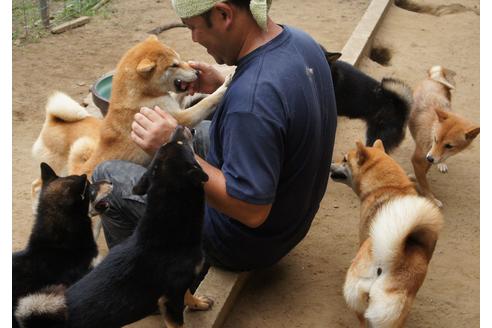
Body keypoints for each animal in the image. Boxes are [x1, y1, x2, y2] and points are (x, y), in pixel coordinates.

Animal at [408, 65, 480, 206]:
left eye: (449, 146)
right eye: (435, 139)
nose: (430, 158)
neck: (432, 127)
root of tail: (433, 79)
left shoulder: (429, 157)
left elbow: (424, 175)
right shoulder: (419, 158)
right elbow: (424, 183)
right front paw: (430, 198)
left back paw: (442, 163)